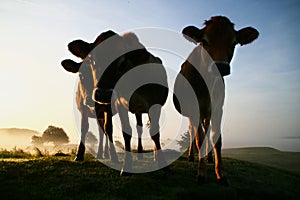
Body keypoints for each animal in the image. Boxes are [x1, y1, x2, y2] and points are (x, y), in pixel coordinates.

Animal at [172, 16, 258, 185]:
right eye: (204, 41)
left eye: (234, 42)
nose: (221, 66)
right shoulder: (194, 108)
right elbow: (199, 139)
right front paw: (201, 173)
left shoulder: (218, 107)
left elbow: (216, 137)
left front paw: (221, 173)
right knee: (193, 131)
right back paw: (192, 156)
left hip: (208, 112)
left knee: (207, 129)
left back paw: (210, 157)